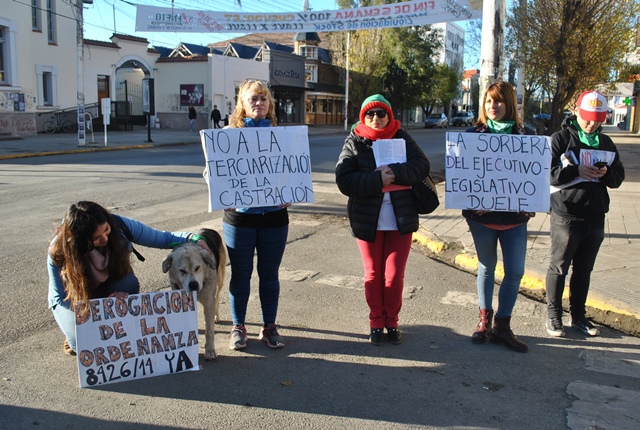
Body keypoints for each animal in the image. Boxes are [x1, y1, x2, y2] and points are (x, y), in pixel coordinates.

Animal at [161, 228, 226, 360]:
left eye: (198, 268)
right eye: (182, 270)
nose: (194, 285)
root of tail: (207, 229)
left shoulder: (208, 302)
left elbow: (209, 331)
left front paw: (210, 350)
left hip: (220, 280)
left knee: (217, 298)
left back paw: (215, 316)